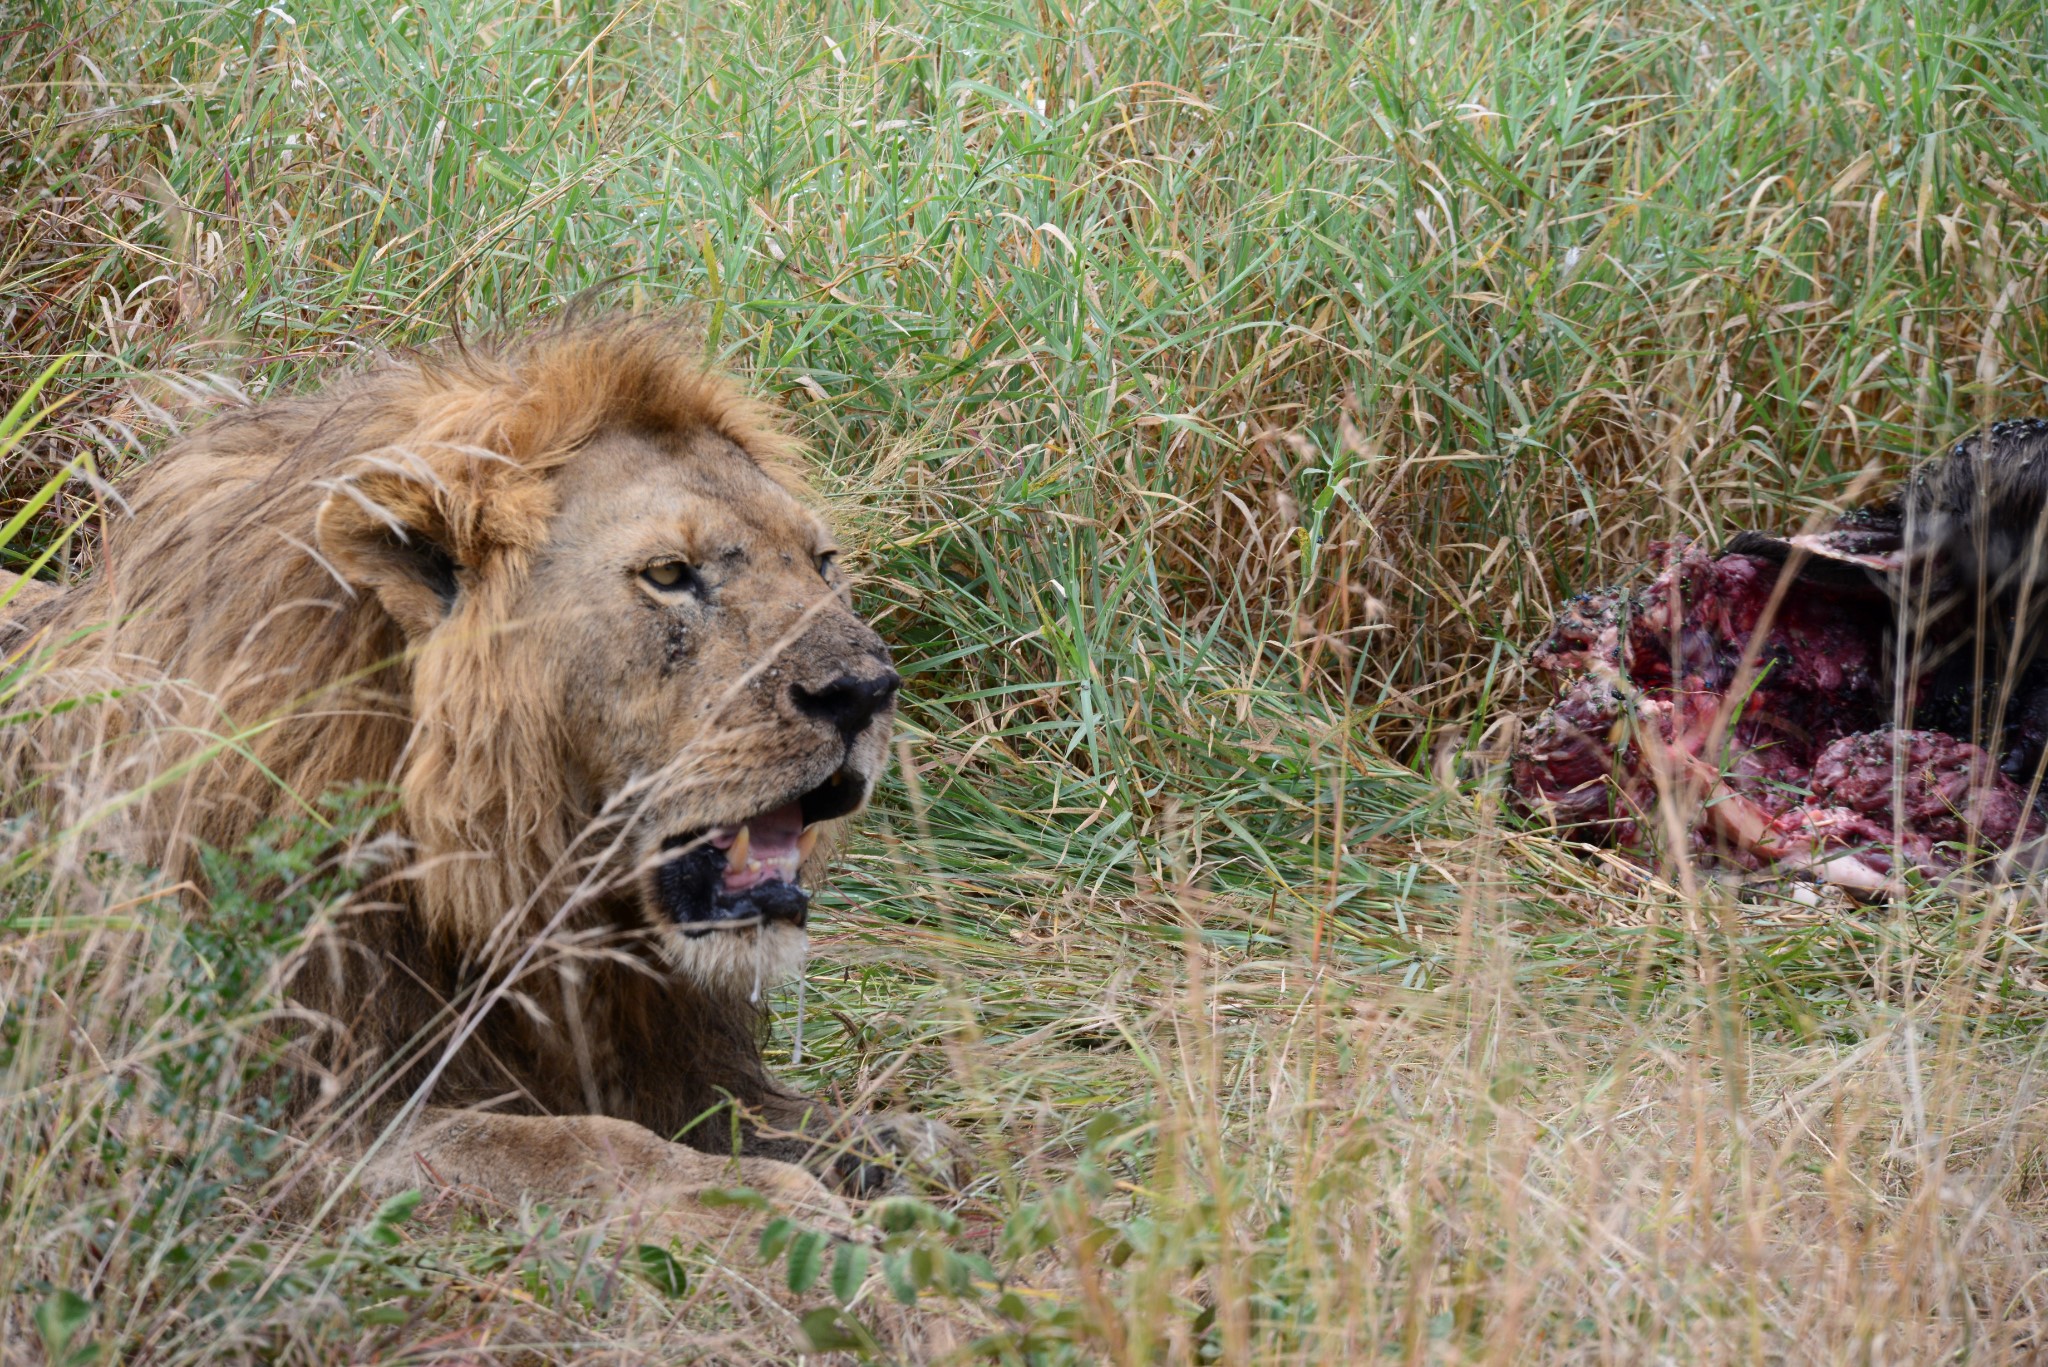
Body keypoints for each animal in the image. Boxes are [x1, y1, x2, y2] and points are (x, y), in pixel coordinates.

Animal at [0, 317, 954, 1237]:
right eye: (669, 574)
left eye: (822, 563)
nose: (866, 690)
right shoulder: (261, 1119)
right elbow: (579, 1147)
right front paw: (766, 1206)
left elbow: (765, 1112)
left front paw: (887, 1141)